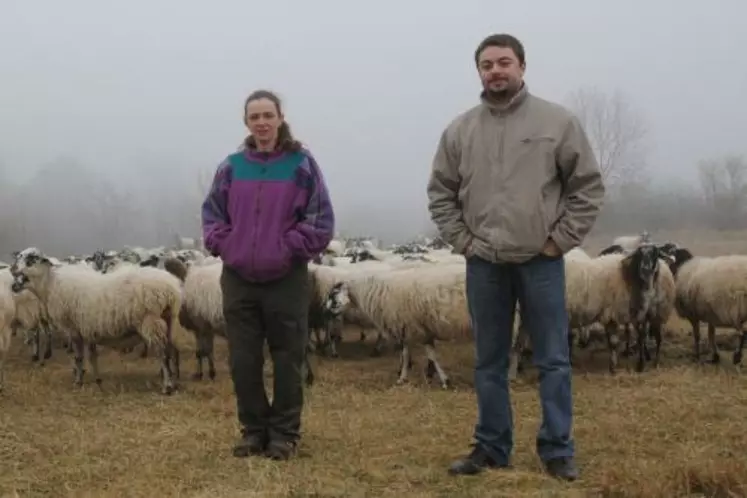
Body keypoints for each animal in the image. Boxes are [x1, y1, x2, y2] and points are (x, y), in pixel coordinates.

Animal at [11, 247, 183, 394]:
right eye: (19, 256)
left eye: (31, 259)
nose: (12, 270)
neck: (51, 284)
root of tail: (172, 289)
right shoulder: (88, 329)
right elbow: (92, 357)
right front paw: (97, 380)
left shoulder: (74, 329)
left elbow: (79, 357)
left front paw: (78, 381)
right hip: (170, 321)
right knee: (172, 351)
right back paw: (174, 382)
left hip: (151, 321)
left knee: (163, 354)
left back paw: (167, 386)